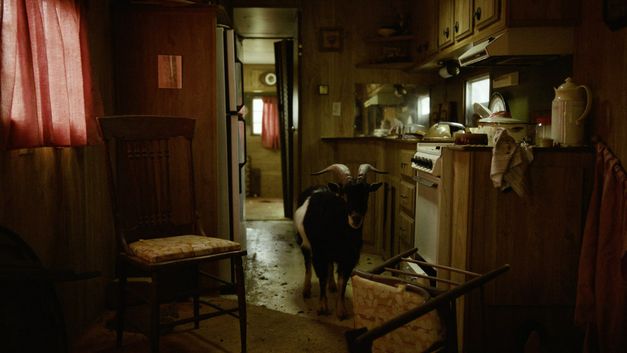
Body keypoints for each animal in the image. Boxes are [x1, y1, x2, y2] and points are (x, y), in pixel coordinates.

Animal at [294, 162, 388, 320]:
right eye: (345, 194)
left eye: (366, 193)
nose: (356, 218)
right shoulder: (319, 254)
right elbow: (321, 277)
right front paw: (322, 307)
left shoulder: (349, 258)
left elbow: (343, 281)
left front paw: (341, 310)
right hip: (304, 243)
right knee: (307, 264)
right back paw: (306, 291)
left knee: (330, 265)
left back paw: (332, 286)